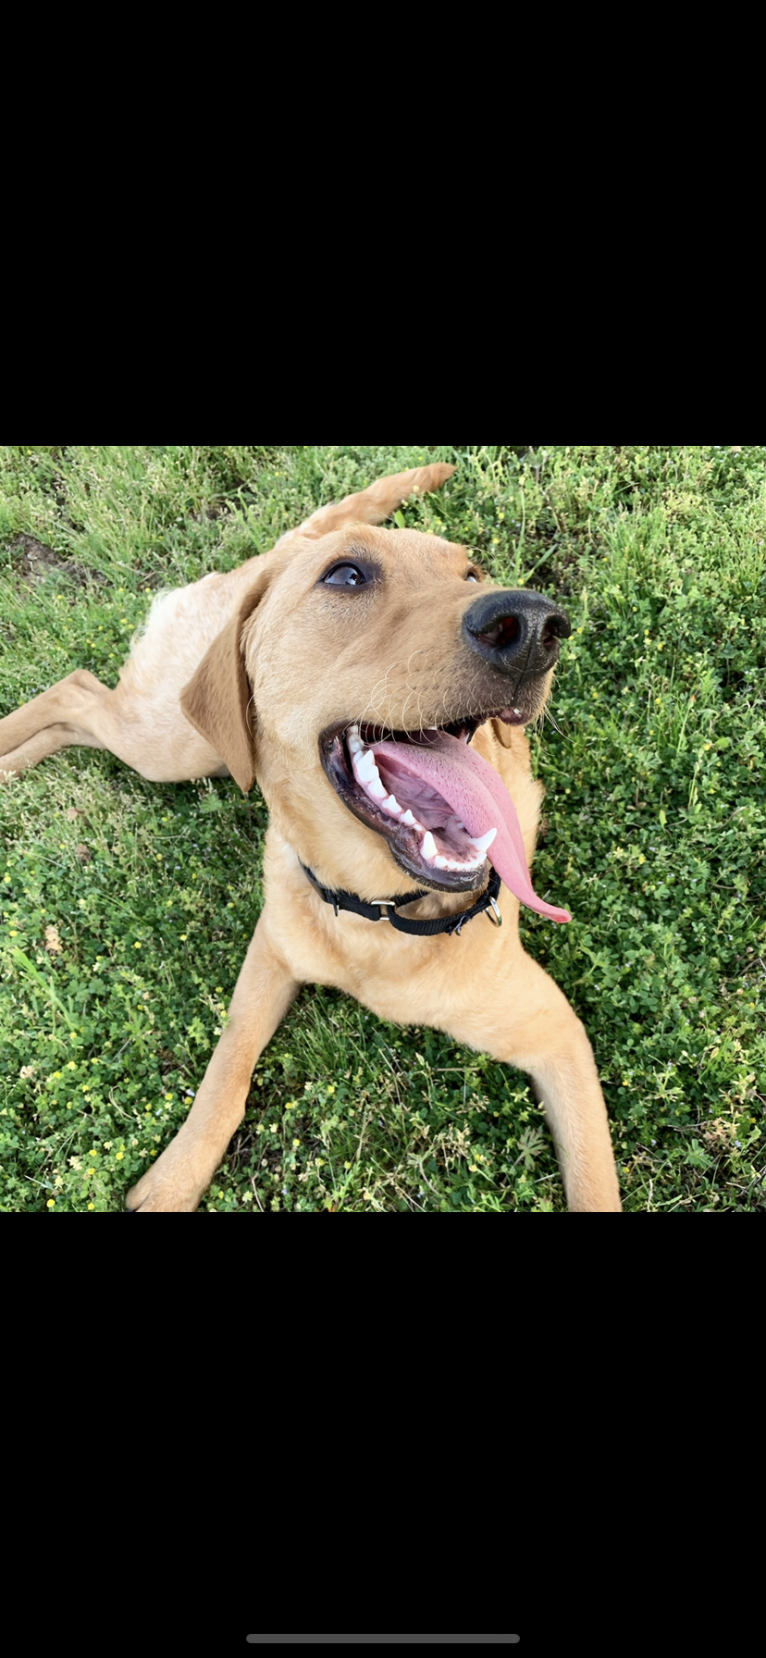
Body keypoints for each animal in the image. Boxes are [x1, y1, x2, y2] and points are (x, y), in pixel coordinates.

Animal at [0, 460, 623, 1213]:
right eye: (347, 576)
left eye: (472, 574)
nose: (533, 624)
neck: (377, 914)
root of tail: (284, 546)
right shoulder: (271, 950)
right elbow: (224, 1074)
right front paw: (176, 1178)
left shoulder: (559, 1037)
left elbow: (596, 1182)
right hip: (179, 739)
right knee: (76, 690)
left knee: (79, 702)